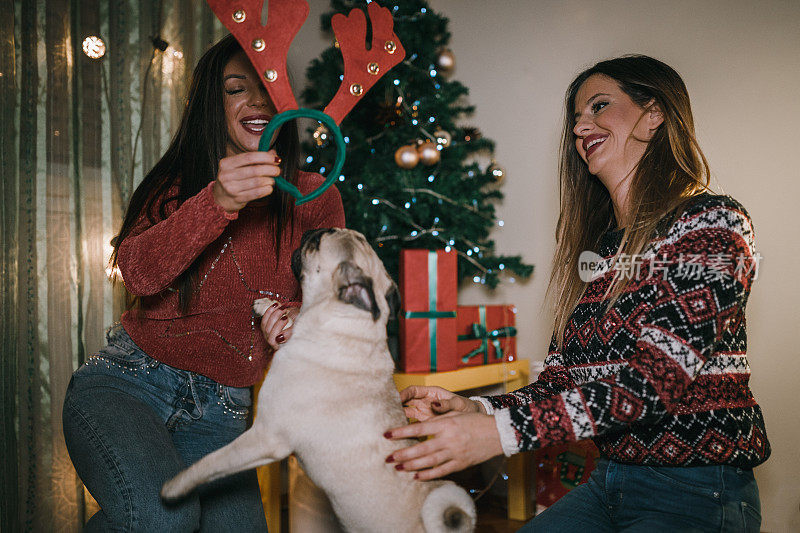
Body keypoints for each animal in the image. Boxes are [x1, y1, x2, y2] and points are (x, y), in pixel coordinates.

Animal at [162, 229, 476, 532]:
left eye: (317, 241)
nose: (307, 232)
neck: (352, 327)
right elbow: (291, 315)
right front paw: (268, 306)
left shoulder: (265, 436)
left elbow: (212, 462)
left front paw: (174, 487)